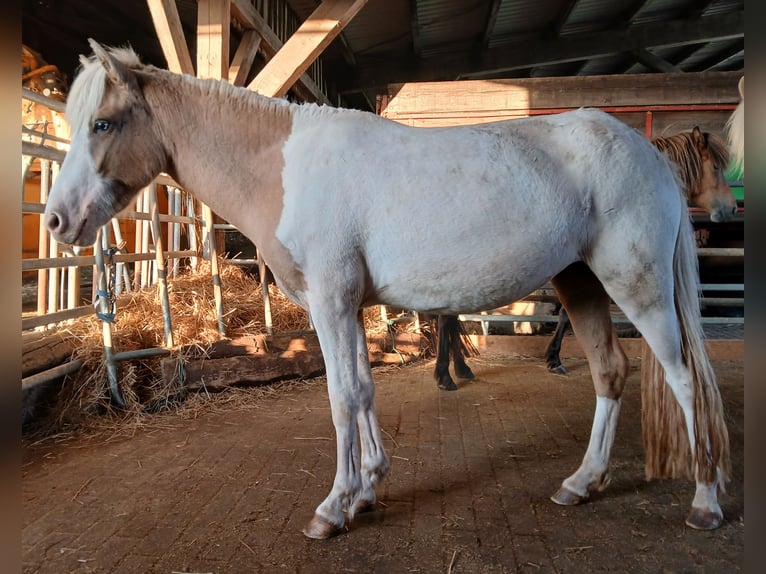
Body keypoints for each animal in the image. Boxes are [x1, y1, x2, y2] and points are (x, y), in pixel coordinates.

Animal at [434, 125, 737, 386]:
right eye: (716, 167)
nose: (732, 208)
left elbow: (566, 316)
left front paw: (554, 357)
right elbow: (566, 317)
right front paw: (554, 358)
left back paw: (459, 369)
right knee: (447, 319)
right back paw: (447, 374)